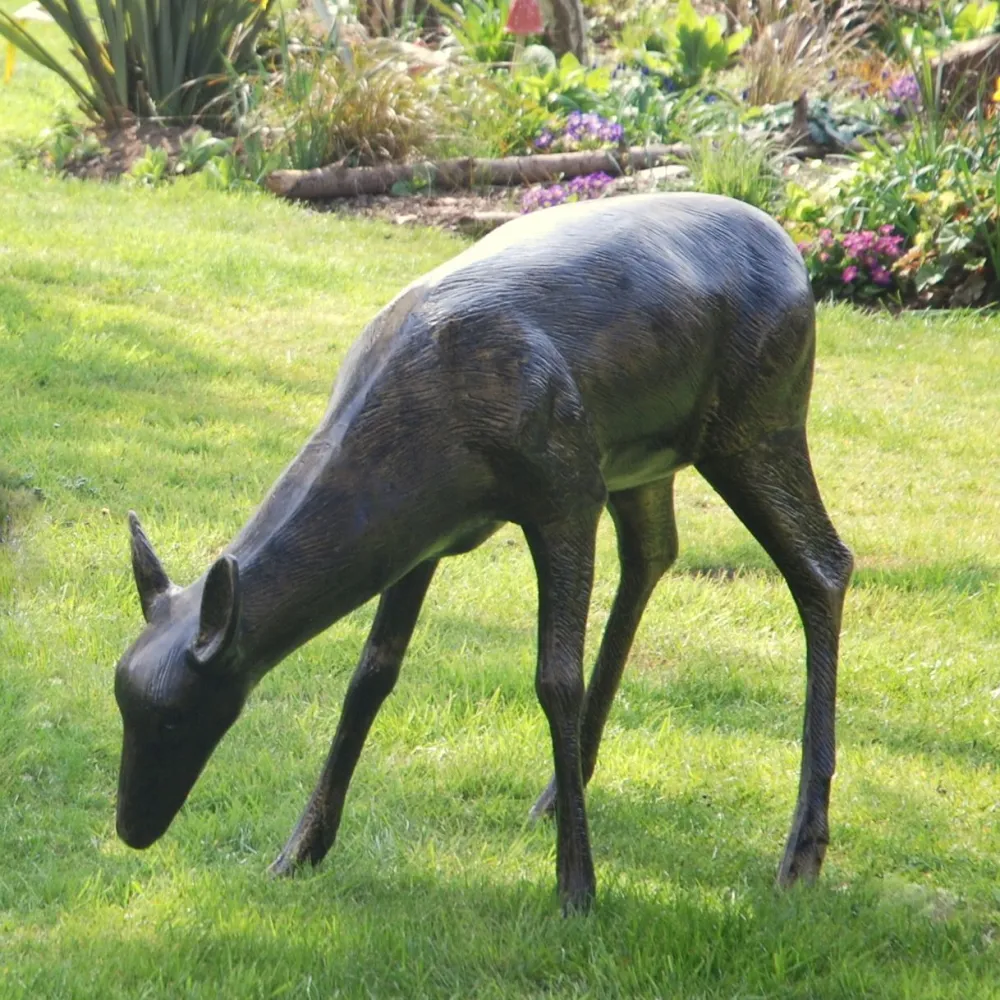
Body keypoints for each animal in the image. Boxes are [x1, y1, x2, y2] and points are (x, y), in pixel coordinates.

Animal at [114, 192, 853, 914]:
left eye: (176, 718)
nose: (130, 830)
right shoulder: (423, 537)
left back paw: (801, 854)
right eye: (121, 700)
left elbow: (555, 680)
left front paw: (577, 891)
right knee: (653, 552)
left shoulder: (563, 492)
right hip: (639, 459)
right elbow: (371, 674)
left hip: (759, 419)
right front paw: (298, 852)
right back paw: (558, 792)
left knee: (824, 564)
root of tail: (791, 253)